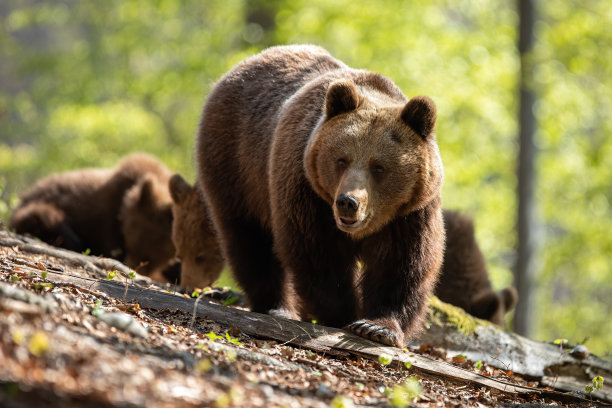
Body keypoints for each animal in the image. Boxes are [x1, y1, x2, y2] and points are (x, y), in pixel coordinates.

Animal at [198, 44, 442, 346]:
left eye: (379, 166)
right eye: (341, 159)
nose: (348, 202)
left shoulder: (410, 213)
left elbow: (402, 265)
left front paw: (376, 327)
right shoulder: (306, 191)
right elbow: (317, 254)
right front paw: (343, 314)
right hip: (237, 166)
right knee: (249, 239)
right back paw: (277, 307)